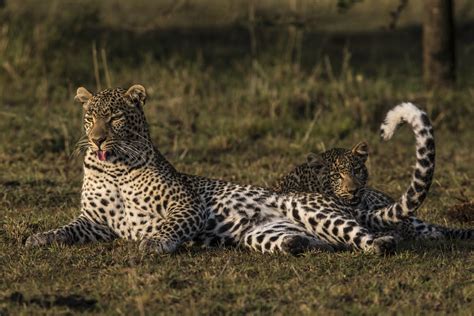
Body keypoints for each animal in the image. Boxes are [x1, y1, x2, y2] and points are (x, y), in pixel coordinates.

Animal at [23, 87, 426, 256]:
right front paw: (39, 238)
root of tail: (341, 200)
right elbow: (66, 229)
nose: (97, 140)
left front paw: (154, 242)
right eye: (90, 117)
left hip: (313, 209)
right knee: (318, 242)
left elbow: (171, 225)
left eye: (116, 118)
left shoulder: (185, 204)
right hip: (263, 234)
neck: (115, 169)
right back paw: (295, 245)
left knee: (366, 237)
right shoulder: (95, 220)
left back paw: (381, 244)